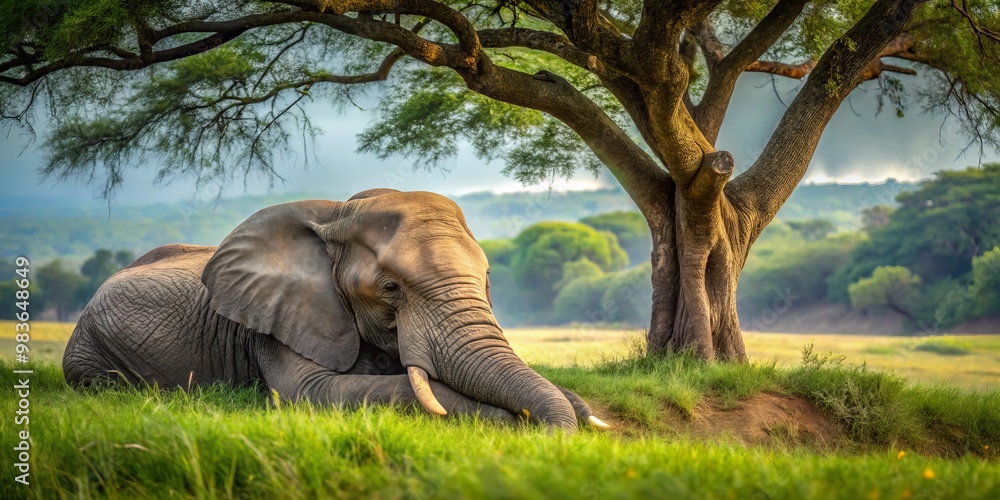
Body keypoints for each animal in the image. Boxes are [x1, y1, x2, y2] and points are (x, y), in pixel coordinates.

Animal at [62, 188, 607, 431]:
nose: (553, 435)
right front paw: (505, 417)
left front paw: (575, 406)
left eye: (488, 279)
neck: (338, 212)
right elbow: (313, 391)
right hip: (89, 353)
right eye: (390, 287)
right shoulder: (280, 321)